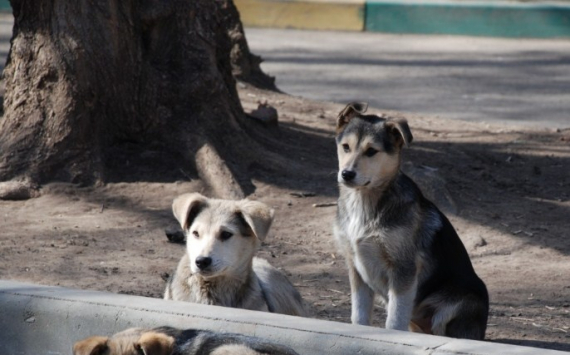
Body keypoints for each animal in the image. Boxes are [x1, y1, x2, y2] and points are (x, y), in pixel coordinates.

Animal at [332, 102, 488, 340]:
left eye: (371, 151)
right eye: (346, 147)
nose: (346, 174)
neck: (365, 202)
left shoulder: (403, 269)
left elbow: (395, 321)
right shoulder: (355, 268)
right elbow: (358, 316)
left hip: (457, 303)